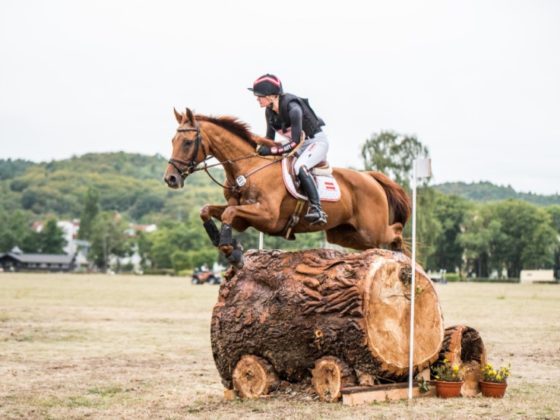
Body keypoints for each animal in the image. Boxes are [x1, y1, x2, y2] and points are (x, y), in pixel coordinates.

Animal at [164, 108, 410, 266]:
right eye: (173, 141)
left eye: (187, 142)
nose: (171, 179)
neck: (248, 168)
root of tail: (370, 177)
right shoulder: (244, 219)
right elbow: (209, 210)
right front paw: (228, 245)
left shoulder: (268, 216)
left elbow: (229, 212)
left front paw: (231, 250)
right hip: (345, 235)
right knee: (374, 244)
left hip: (370, 229)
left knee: (396, 230)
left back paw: (400, 255)